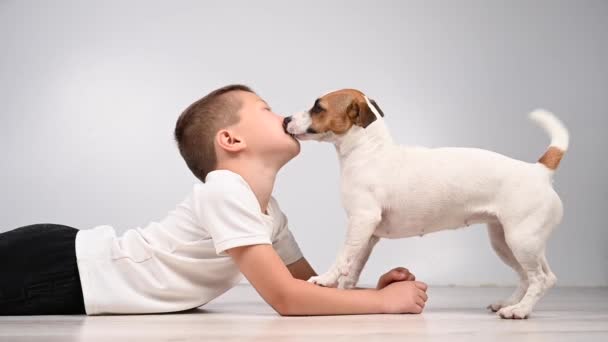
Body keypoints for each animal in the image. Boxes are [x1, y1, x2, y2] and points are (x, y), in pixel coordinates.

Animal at [284, 89, 568, 320]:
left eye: (318, 107)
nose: (286, 119)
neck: (370, 152)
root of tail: (539, 170)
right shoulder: (367, 235)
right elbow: (353, 266)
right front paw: (345, 292)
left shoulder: (361, 222)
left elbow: (342, 257)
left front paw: (325, 280)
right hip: (508, 242)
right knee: (535, 277)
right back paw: (510, 303)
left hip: (521, 241)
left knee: (539, 278)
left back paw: (519, 310)